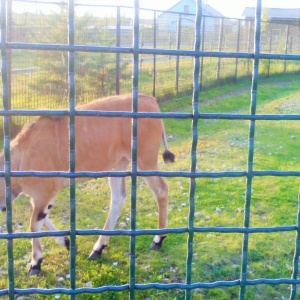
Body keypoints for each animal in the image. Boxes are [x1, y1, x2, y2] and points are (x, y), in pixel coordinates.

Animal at [0, 94, 173, 274]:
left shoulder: (44, 194)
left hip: (145, 161)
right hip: (119, 165)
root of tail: (149, 99)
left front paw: (36, 262)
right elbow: (40, 218)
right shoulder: (43, 198)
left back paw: (158, 239)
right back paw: (98, 247)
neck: (21, 156)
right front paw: (67, 242)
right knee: (118, 198)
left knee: (161, 190)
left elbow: (34, 224)